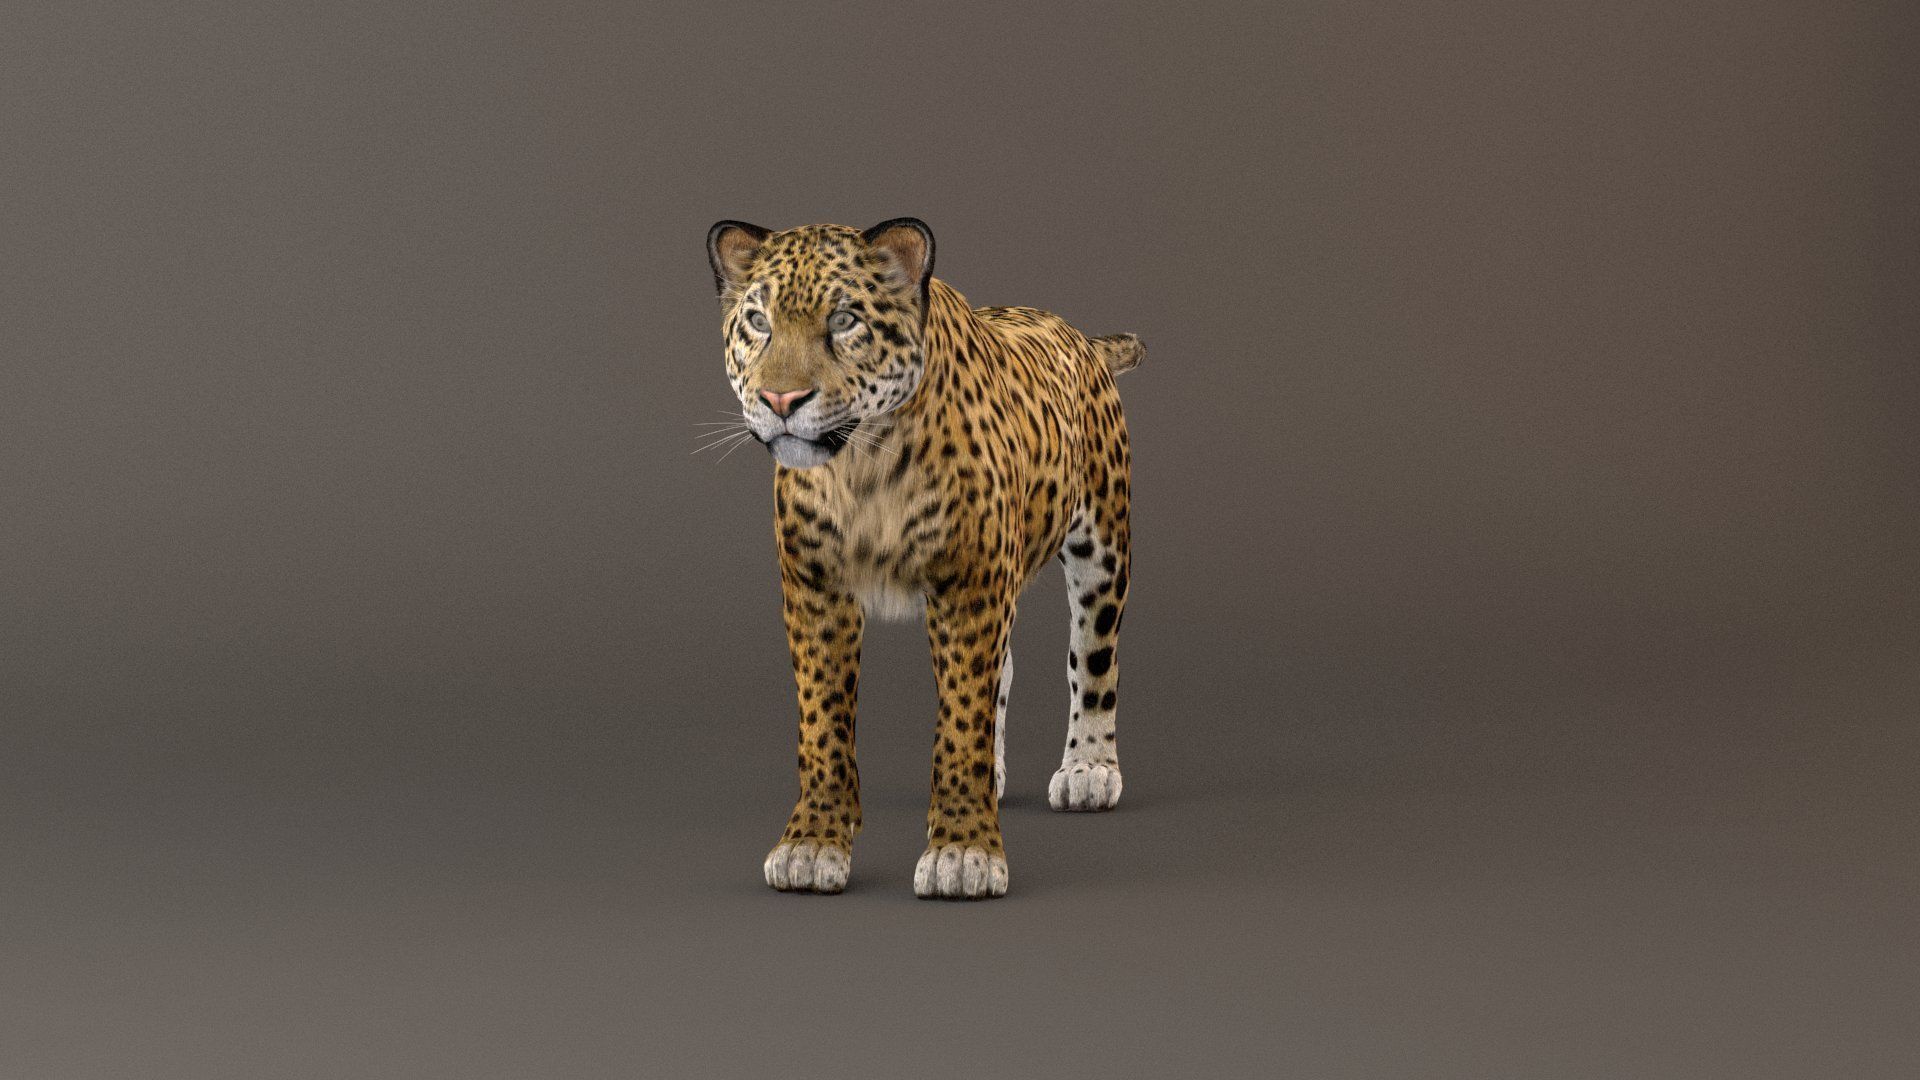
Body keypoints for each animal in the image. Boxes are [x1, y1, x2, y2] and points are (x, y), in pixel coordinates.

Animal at [705, 217, 1141, 899]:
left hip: (1102, 545)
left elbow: (961, 715)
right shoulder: (815, 588)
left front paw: (963, 850)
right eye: (757, 321)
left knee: (1093, 658)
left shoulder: (970, 586)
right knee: (1003, 670)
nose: (780, 399)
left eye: (845, 320)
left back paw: (1089, 768)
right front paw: (811, 842)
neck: (864, 466)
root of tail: (1082, 339)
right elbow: (822, 721)